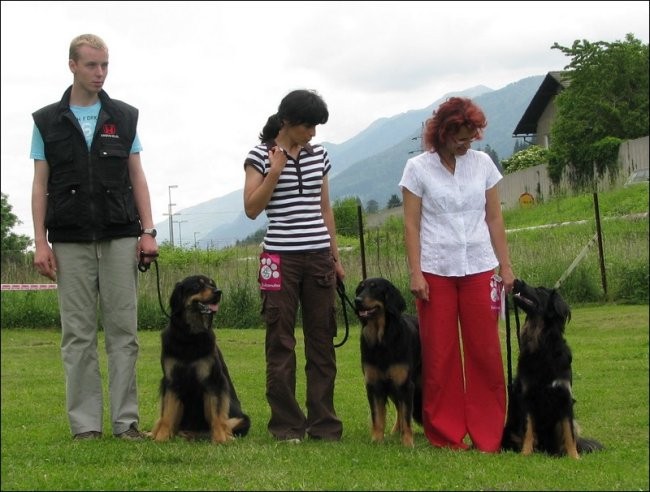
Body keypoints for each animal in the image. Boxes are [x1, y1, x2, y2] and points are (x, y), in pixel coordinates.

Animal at [150, 274, 251, 444]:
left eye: (212, 284)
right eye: (198, 285)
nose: (218, 292)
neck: (190, 337)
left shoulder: (212, 380)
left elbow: (216, 415)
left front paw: (220, 439)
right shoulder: (171, 381)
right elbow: (167, 415)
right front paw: (161, 438)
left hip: (242, 419)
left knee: (226, 423)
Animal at [352, 276, 422, 446]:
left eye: (375, 288)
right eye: (360, 289)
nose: (357, 300)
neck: (381, 340)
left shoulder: (404, 383)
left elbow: (406, 414)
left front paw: (408, 443)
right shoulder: (374, 384)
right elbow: (377, 417)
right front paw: (377, 441)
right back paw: (396, 431)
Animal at [502, 278, 604, 460]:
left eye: (540, 290)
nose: (516, 280)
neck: (542, 344)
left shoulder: (564, 396)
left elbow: (568, 432)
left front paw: (574, 457)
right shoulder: (527, 396)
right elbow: (528, 430)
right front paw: (526, 453)